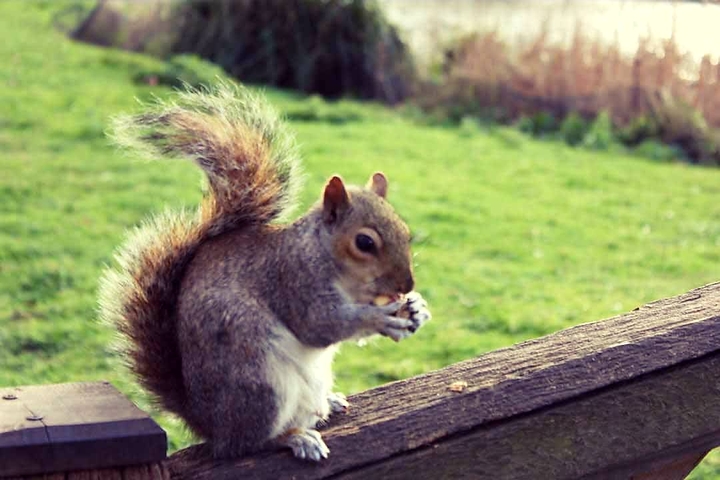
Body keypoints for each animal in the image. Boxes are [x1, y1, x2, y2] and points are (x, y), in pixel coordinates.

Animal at [99, 83, 431, 462]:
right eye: (364, 242)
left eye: (406, 232)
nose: (406, 283)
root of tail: (209, 425)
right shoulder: (293, 281)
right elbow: (319, 326)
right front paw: (381, 319)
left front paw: (417, 307)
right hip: (260, 385)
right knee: (248, 445)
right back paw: (294, 438)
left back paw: (328, 404)